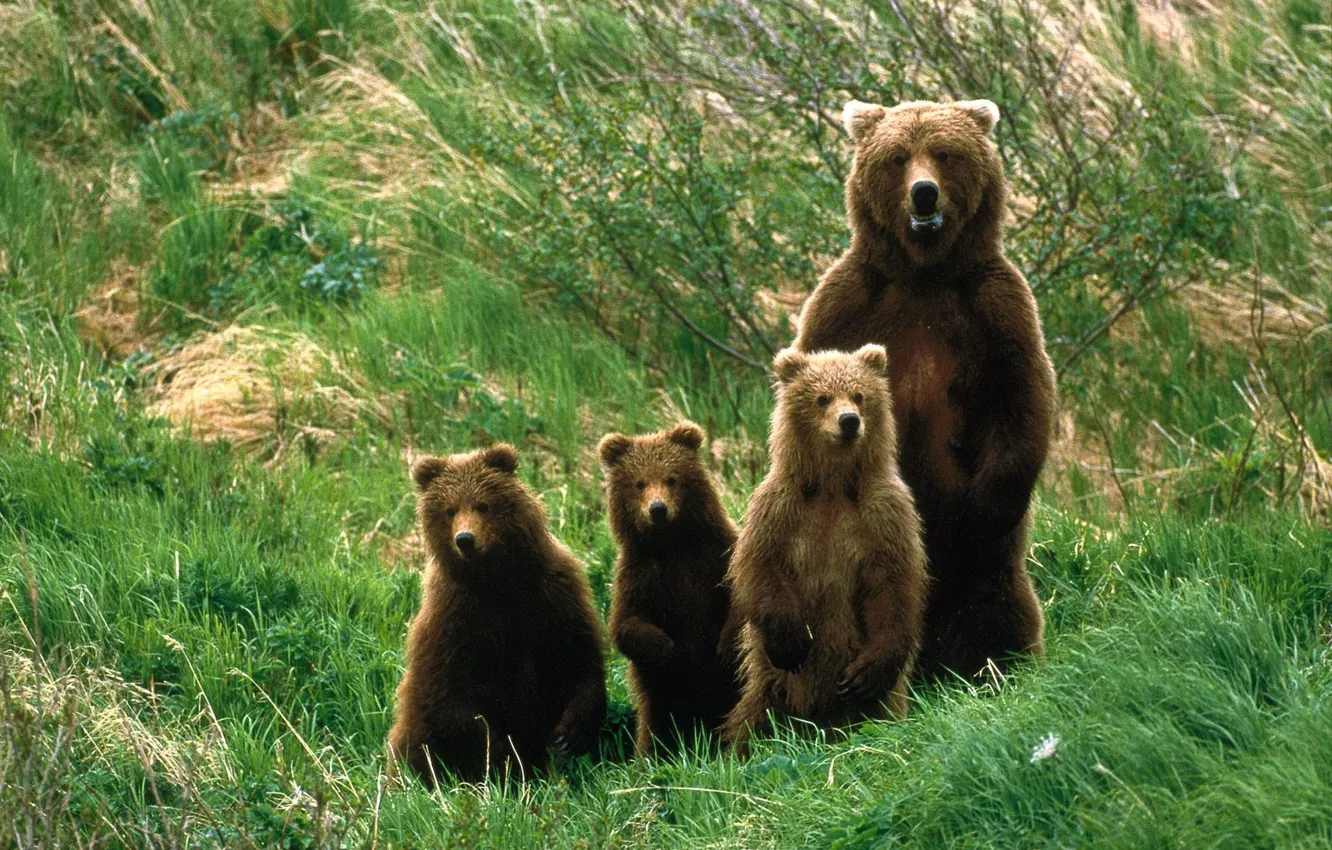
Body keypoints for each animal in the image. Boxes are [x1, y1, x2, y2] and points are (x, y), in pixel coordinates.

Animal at [387, 444, 607, 785]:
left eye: (483, 504)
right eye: (449, 509)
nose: (465, 539)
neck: (496, 580)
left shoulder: (552, 595)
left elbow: (577, 656)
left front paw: (571, 732)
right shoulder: (454, 617)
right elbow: (450, 693)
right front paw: (500, 751)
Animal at [599, 421, 741, 756]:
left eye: (671, 478)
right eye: (639, 483)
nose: (658, 509)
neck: (672, 544)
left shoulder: (714, 556)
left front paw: (725, 645)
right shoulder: (640, 576)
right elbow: (625, 625)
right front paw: (665, 648)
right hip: (660, 700)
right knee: (656, 728)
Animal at [722, 345, 927, 753]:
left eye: (860, 395)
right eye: (821, 398)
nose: (849, 421)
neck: (832, 485)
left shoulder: (884, 514)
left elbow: (893, 585)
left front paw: (867, 673)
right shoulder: (780, 509)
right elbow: (759, 568)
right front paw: (792, 640)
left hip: (875, 707)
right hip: (772, 689)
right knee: (752, 719)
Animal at [794, 99, 1056, 683]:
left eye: (944, 151)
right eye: (897, 156)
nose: (924, 193)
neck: (924, 273)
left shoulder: (995, 308)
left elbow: (1021, 395)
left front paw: (987, 507)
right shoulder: (847, 303)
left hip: (986, 575)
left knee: (996, 609)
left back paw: (992, 665)